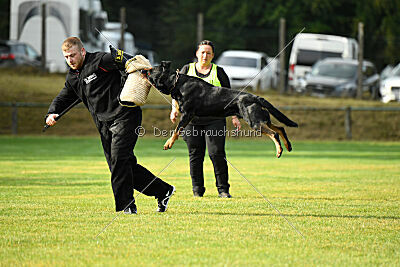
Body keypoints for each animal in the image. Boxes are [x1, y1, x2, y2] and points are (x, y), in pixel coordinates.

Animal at [144, 61, 296, 157]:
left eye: (151, 70)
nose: (143, 69)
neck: (176, 84)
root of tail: (255, 97)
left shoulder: (187, 115)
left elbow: (176, 130)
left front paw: (168, 143)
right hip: (262, 119)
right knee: (280, 128)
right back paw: (288, 146)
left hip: (255, 122)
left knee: (274, 134)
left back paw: (279, 150)